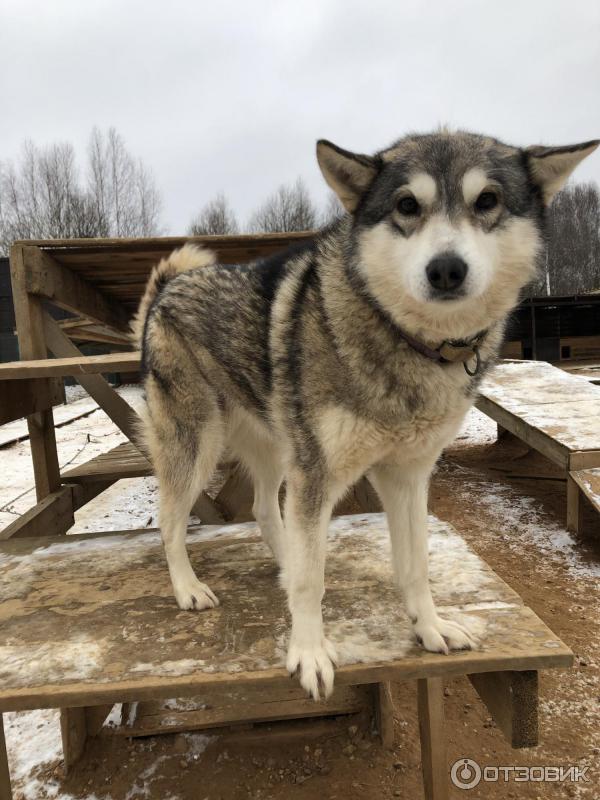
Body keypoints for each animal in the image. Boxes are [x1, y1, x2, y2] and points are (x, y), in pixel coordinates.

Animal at [134, 128, 596, 696]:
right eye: (407, 205)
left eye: (487, 201)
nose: (446, 269)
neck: (408, 341)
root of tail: (168, 287)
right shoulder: (318, 473)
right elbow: (312, 582)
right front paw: (309, 652)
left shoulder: (407, 475)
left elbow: (415, 565)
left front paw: (430, 628)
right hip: (199, 446)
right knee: (170, 521)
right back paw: (189, 588)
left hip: (275, 447)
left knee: (266, 510)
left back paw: (283, 561)